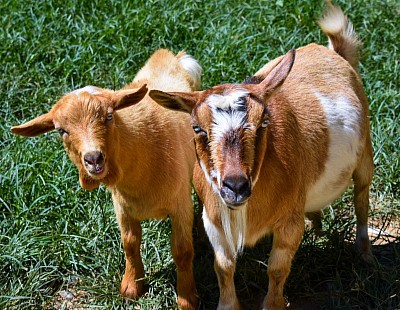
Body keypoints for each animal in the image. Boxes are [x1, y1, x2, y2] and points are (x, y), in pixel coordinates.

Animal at [11, 49, 203, 310]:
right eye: (61, 130)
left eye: (109, 116)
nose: (93, 158)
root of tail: (171, 56)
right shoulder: (122, 206)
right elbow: (130, 243)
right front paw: (132, 286)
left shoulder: (180, 203)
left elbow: (182, 250)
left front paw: (187, 298)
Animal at [148, 4, 374, 310]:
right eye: (196, 128)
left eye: (263, 122)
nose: (236, 186)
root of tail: (333, 52)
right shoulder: (212, 216)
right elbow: (224, 266)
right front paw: (228, 305)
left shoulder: (289, 221)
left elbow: (277, 268)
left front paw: (272, 304)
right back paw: (316, 227)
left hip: (365, 155)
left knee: (362, 199)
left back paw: (365, 254)